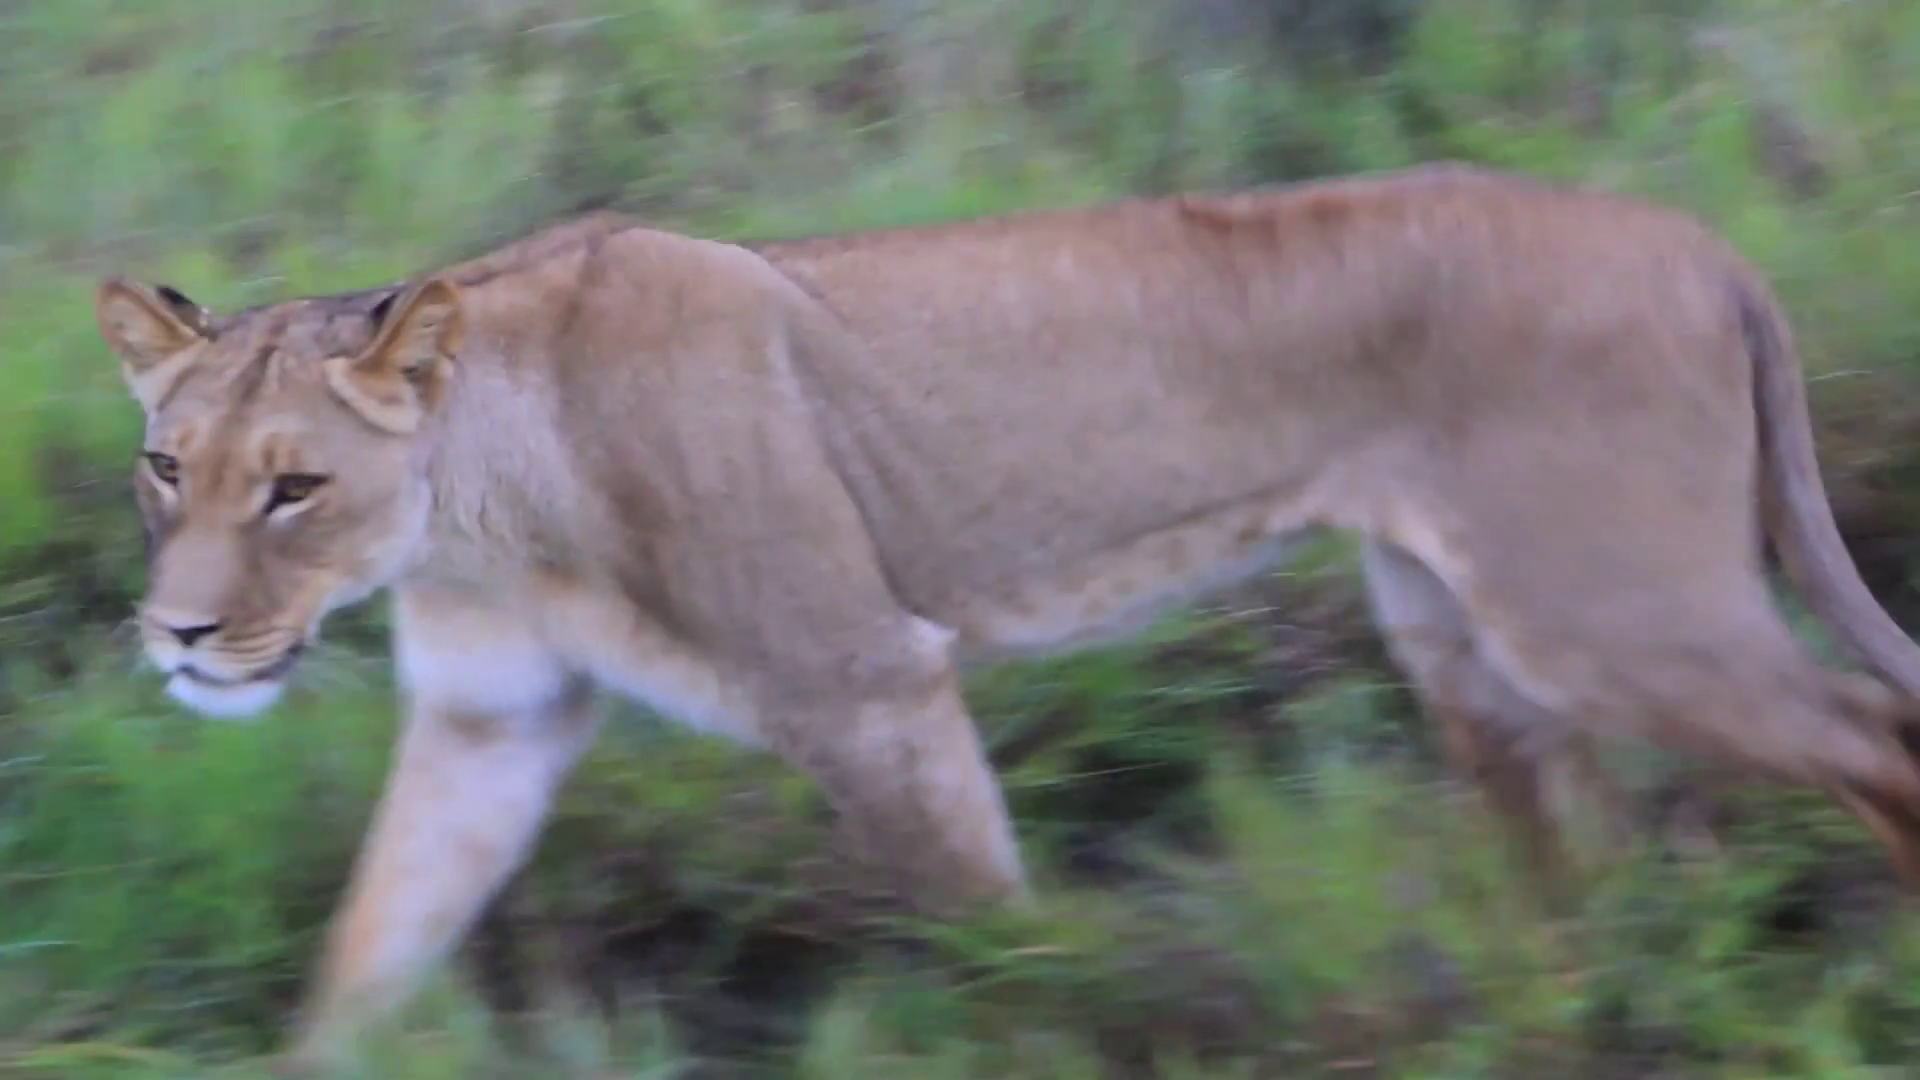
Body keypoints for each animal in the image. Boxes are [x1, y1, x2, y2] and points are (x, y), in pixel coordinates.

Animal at [90, 162, 1920, 1073]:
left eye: (294, 488)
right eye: (167, 466)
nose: (176, 640)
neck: (478, 508)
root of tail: (1699, 242)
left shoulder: (865, 682)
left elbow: (1002, 943)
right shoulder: (493, 723)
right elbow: (368, 954)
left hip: (1605, 607)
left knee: (1876, 733)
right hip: (1463, 639)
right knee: (1586, 861)